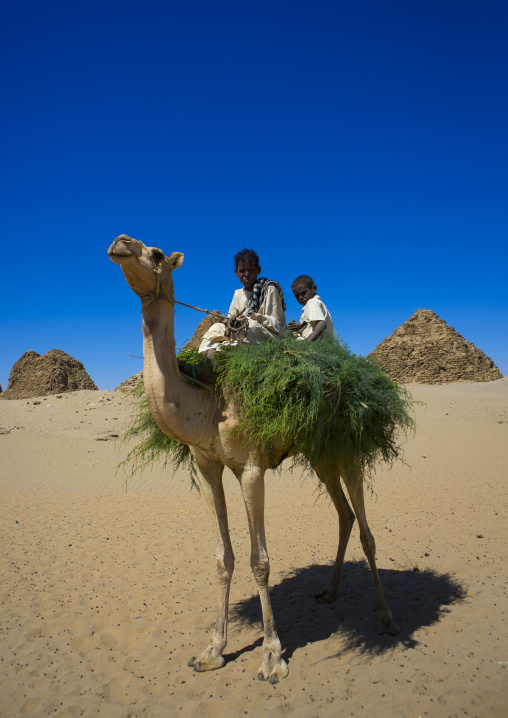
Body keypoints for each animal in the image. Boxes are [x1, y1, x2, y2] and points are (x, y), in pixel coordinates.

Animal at [108, 234, 400, 684]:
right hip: (320, 453)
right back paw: (329, 591)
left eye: (155, 255)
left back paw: (386, 619)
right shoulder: (206, 467)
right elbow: (223, 559)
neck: (207, 403)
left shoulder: (251, 469)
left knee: (367, 530)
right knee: (344, 515)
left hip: (348, 449)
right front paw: (212, 650)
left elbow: (259, 561)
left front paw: (272, 657)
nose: (119, 244)